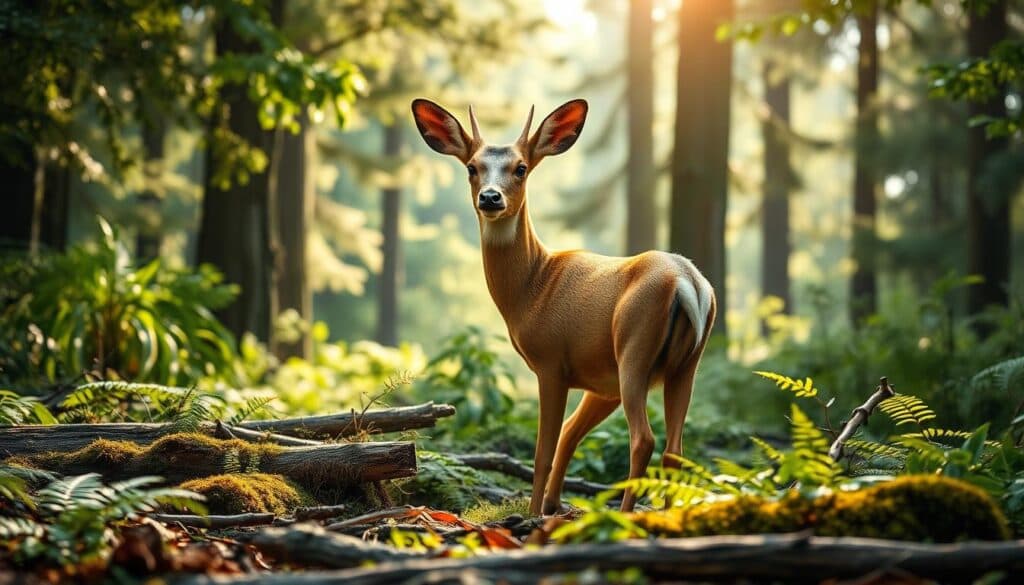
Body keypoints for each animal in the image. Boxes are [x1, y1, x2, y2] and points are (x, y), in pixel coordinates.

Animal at [411, 98, 716, 515]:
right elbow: (570, 434)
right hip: (686, 364)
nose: (490, 197)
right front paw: (553, 506)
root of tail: (689, 282)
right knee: (675, 448)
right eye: (472, 167)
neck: (532, 287)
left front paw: (533, 512)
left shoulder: (551, 362)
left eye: (521, 168)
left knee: (644, 439)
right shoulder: (599, 380)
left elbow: (544, 449)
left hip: (634, 348)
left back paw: (623, 516)